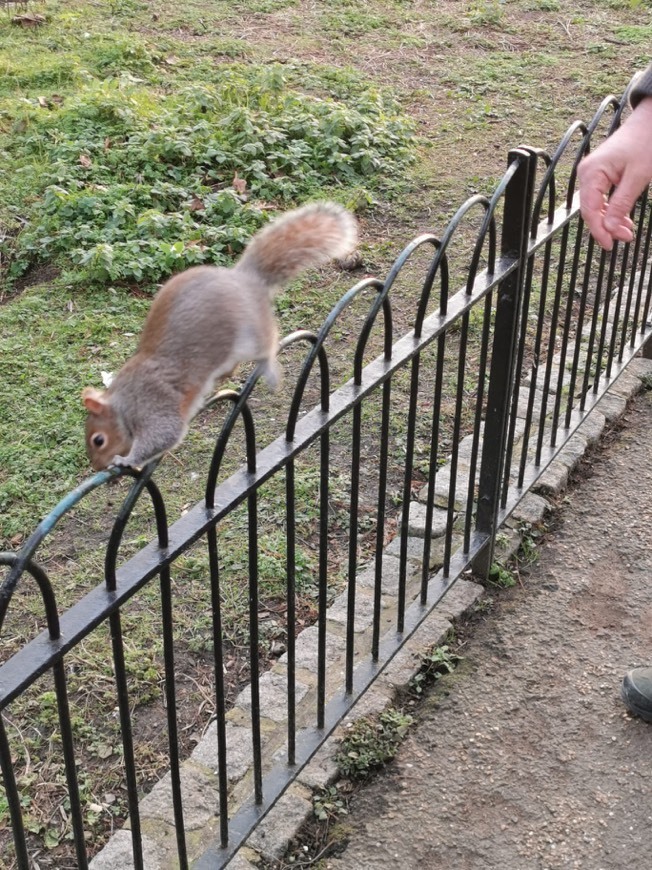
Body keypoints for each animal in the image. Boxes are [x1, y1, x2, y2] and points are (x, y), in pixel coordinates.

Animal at [83, 202, 356, 474]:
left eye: (98, 440)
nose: (97, 467)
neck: (123, 402)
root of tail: (244, 279)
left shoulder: (153, 403)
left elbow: (164, 434)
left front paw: (126, 460)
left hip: (251, 330)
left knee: (267, 343)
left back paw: (268, 369)